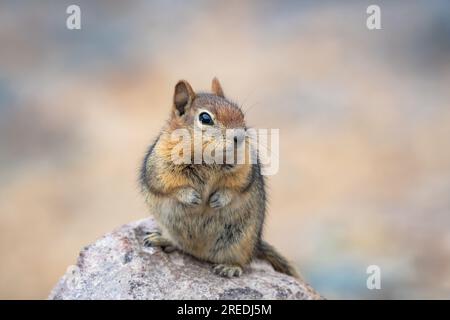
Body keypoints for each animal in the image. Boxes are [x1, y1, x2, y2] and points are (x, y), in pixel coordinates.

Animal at [139, 77, 298, 278]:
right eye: (205, 118)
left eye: (240, 113)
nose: (240, 136)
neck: (208, 158)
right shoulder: (161, 168)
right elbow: (167, 185)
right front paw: (191, 197)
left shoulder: (243, 170)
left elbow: (236, 187)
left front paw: (219, 199)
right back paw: (160, 239)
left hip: (241, 242)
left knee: (242, 262)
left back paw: (230, 267)